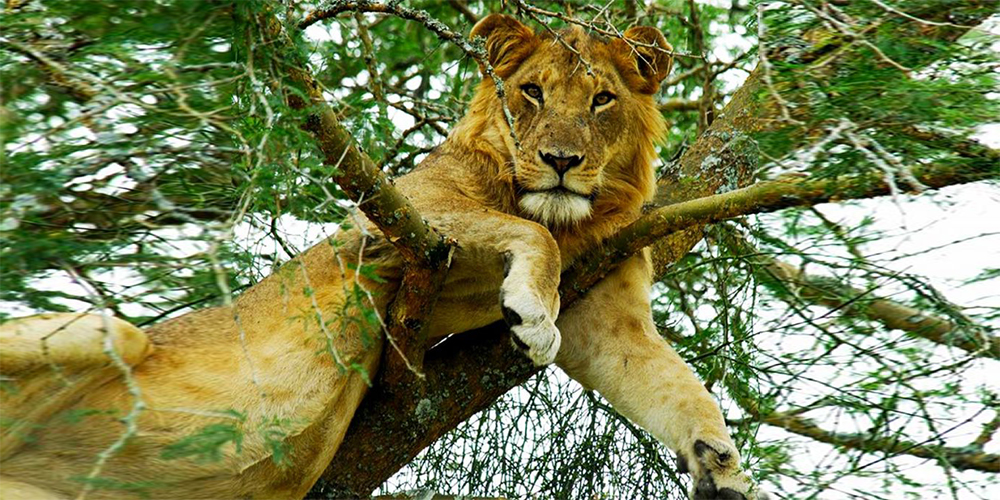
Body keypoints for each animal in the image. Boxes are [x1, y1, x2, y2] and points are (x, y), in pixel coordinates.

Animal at [0, 15, 766, 500]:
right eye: (532, 92)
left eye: (603, 99)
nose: (559, 162)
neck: (571, 218)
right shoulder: (395, 215)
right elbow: (530, 239)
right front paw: (530, 312)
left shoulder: (606, 316)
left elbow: (678, 390)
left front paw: (723, 469)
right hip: (105, 330)